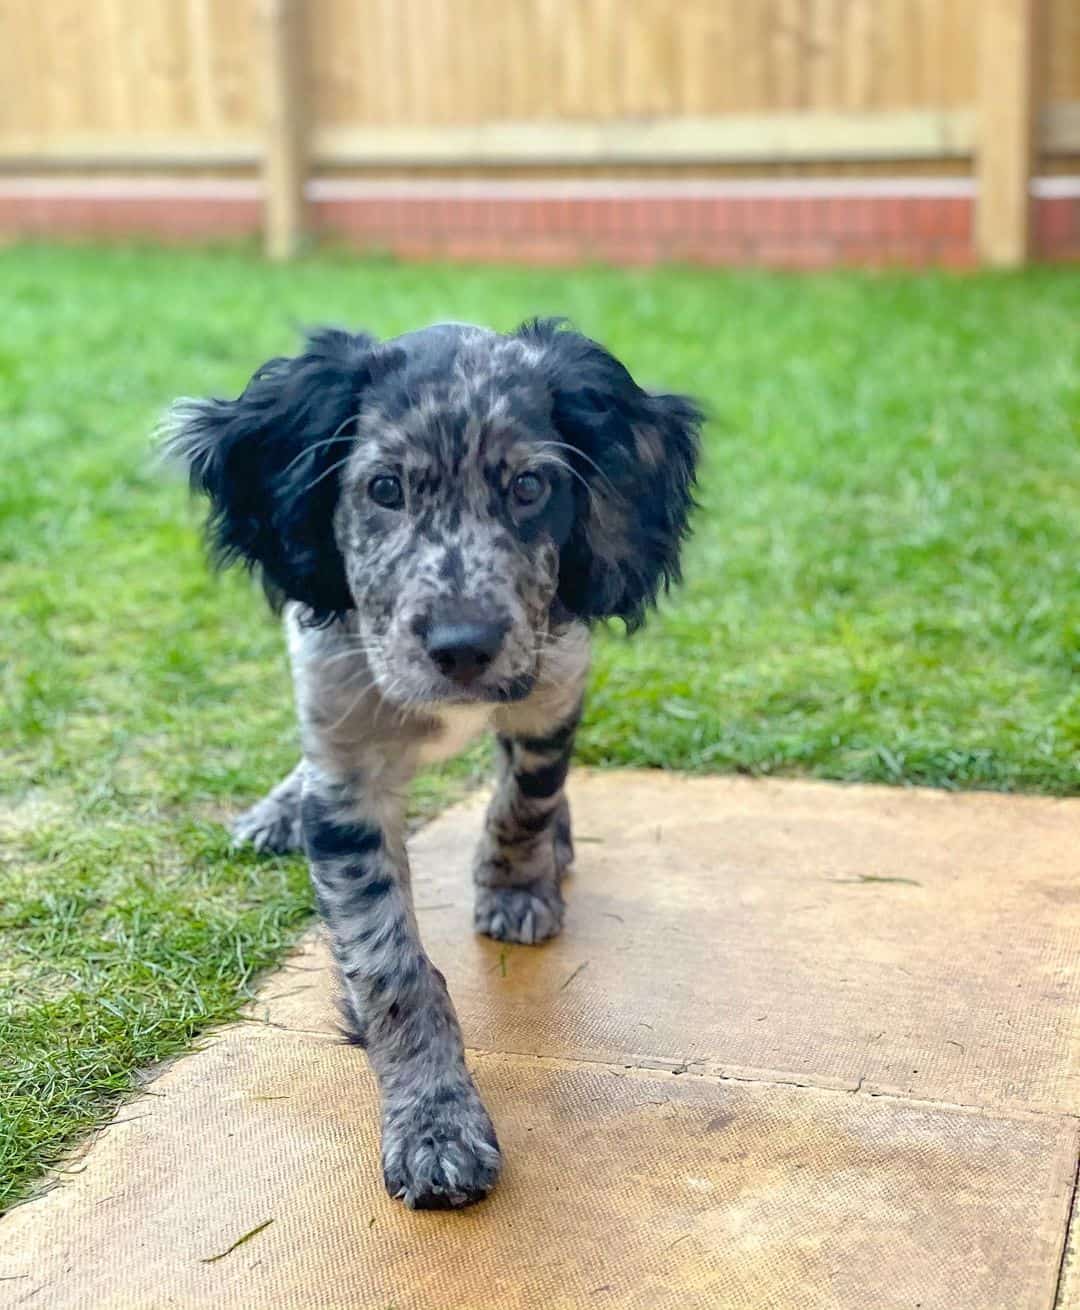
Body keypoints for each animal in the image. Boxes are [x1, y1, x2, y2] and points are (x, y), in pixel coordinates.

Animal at [167, 317, 702, 1205]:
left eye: (529, 487)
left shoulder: (553, 684)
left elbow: (526, 796)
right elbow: (391, 968)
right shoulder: (346, 771)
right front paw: (435, 1126)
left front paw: (517, 885)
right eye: (384, 490)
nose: (462, 648)